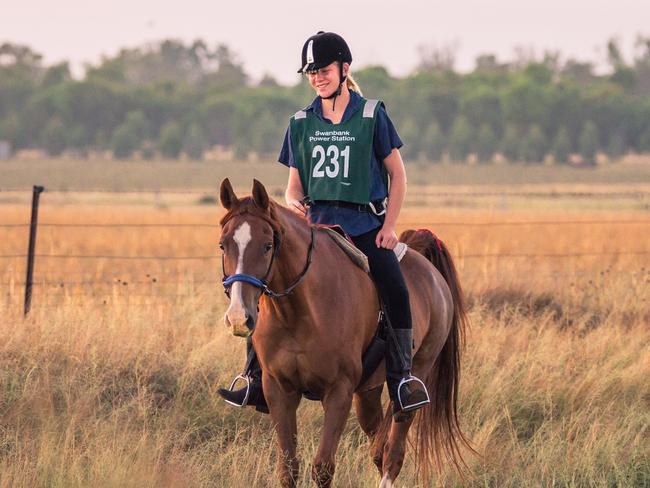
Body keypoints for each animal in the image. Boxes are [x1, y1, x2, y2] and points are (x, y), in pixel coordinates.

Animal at [220, 180, 468, 488]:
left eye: (267, 246)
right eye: (223, 245)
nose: (238, 317)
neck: (299, 311)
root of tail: (429, 269)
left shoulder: (338, 391)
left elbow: (323, 467)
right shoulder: (278, 389)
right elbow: (288, 467)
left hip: (414, 379)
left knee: (393, 453)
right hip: (368, 392)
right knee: (378, 449)